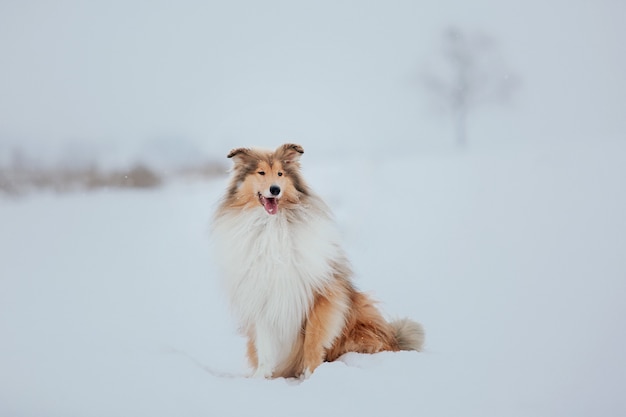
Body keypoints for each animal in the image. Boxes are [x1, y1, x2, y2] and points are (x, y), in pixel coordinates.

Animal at [212, 142, 422, 376]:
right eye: (261, 172)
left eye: (280, 173)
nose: (275, 189)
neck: (273, 226)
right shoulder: (263, 300)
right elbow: (265, 347)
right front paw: (261, 377)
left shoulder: (323, 295)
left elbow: (313, 338)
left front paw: (312, 374)